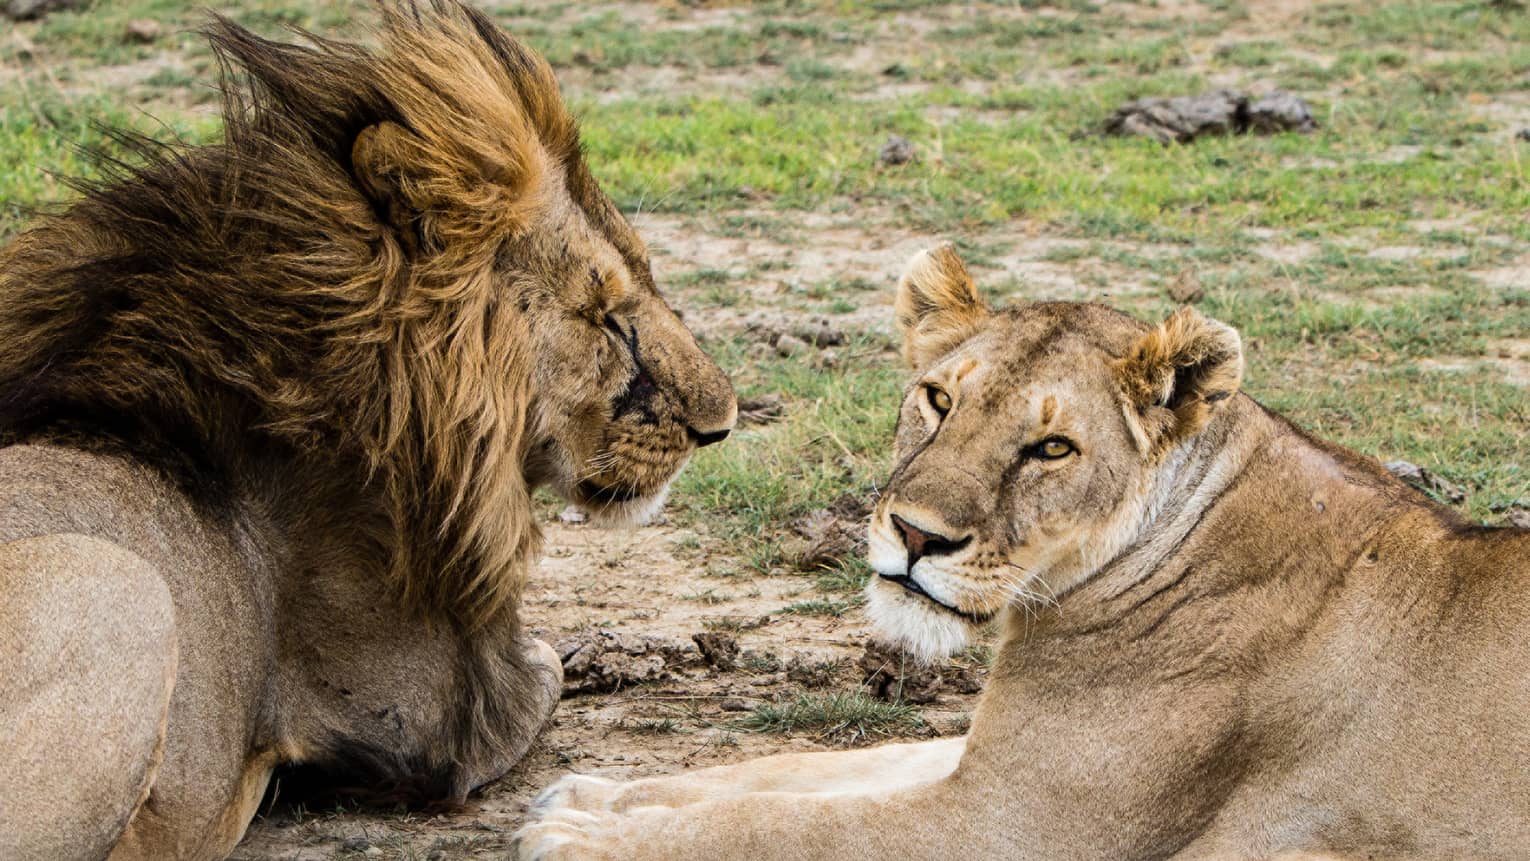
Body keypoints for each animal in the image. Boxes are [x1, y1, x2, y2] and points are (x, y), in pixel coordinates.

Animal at [517, 244, 1530, 861]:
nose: (917, 535)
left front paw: (584, 840)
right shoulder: (992, 764)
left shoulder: (1015, 824)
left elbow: (792, 828)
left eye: (1051, 448)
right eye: (937, 399)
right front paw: (596, 796)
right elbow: (793, 775)